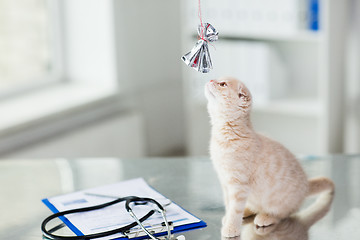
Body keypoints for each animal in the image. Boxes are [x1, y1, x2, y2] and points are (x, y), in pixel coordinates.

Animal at [205, 77, 334, 238]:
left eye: (223, 84)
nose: (210, 79)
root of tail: (306, 185)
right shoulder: (225, 183)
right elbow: (229, 205)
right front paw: (229, 218)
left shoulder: (238, 185)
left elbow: (235, 208)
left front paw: (231, 227)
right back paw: (247, 211)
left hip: (280, 203)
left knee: (283, 213)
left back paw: (266, 217)